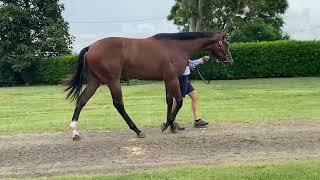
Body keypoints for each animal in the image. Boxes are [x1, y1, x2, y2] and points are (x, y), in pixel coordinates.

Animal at [63, 32, 232, 141]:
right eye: (226, 44)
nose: (230, 61)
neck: (176, 47)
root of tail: (91, 47)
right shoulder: (173, 78)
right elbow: (179, 101)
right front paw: (167, 125)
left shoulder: (168, 79)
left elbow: (169, 101)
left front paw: (171, 126)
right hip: (113, 80)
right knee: (118, 104)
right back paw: (138, 131)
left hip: (95, 81)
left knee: (81, 101)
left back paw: (75, 133)